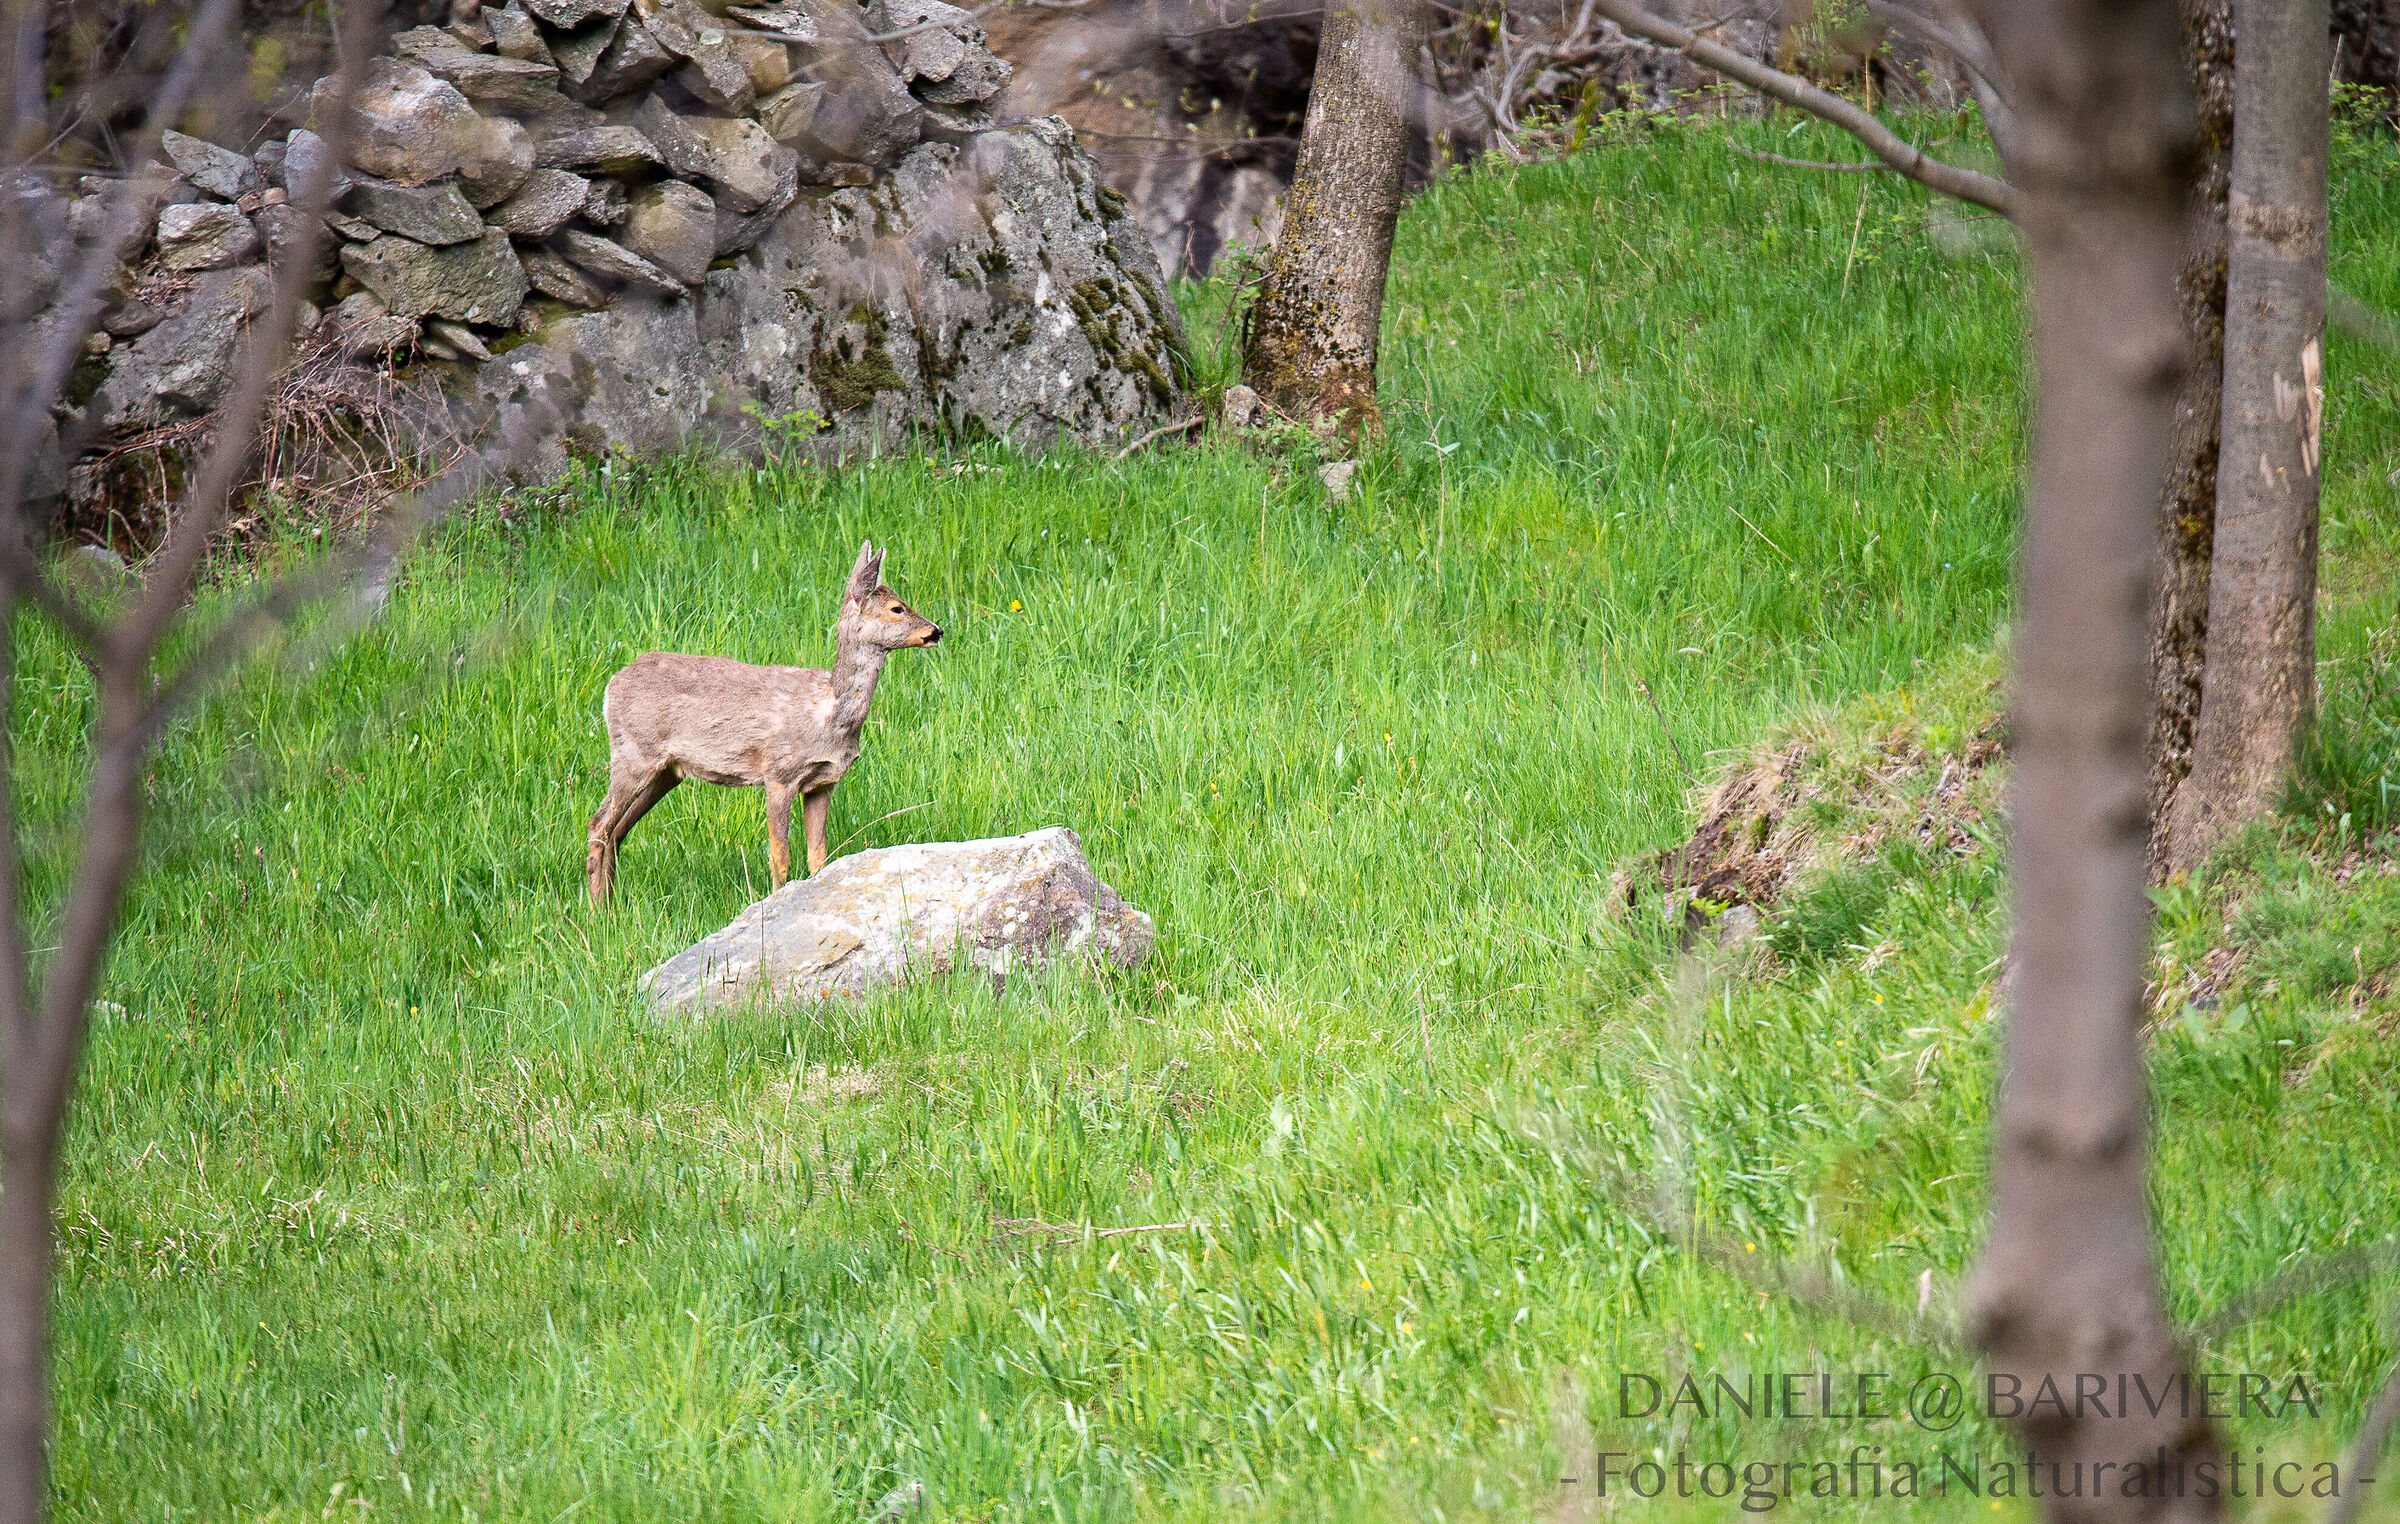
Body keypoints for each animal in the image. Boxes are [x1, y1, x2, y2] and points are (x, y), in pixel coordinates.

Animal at [586, 540, 942, 905]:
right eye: (897, 608)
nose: (936, 631)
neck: (828, 714)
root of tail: (611, 685)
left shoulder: (822, 783)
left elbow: (820, 858)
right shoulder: (779, 774)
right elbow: (780, 856)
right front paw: (775, 900)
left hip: (667, 771)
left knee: (618, 829)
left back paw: (611, 904)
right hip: (633, 755)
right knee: (599, 824)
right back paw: (599, 909)